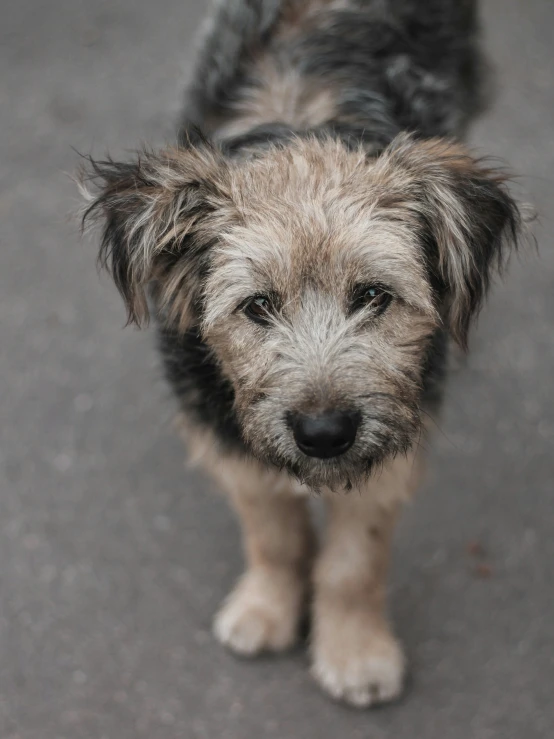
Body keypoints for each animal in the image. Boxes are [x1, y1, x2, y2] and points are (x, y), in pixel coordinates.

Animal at [80, 0, 520, 708]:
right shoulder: (225, 435)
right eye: (257, 305)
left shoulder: (394, 447)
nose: (324, 433)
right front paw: (266, 609)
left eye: (373, 295)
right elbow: (274, 534)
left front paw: (355, 650)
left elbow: (352, 562)